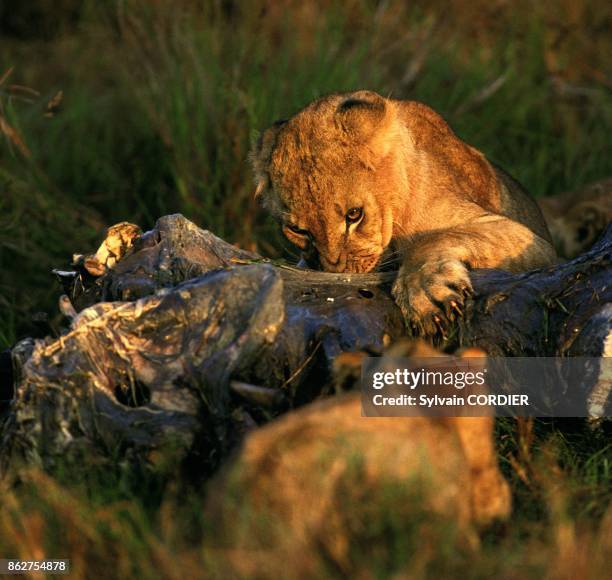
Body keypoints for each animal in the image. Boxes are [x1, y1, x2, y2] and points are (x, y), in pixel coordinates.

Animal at [251, 88, 556, 328]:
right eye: (297, 230)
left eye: (354, 215)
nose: (334, 271)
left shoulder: (535, 244)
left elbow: (433, 238)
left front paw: (424, 294)